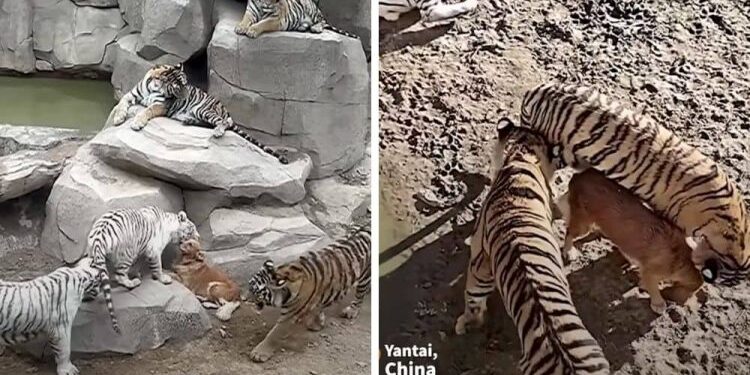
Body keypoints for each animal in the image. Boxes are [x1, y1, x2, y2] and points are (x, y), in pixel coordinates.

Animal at [110, 63, 290, 164]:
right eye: (177, 88)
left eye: (186, 84)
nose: (184, 96)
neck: (154, 85)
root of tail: (225, 109)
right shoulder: (132, 94)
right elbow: (122, 102)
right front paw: (118, 118)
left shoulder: (161, 105)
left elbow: (148, 110)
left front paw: (136, 123)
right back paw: (188, 121)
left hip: (202, 109)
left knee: (223, 122)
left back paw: (217, 132)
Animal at [248, 225, 372, 362]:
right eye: (249, 286)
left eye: (255, 291)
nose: (244, 298)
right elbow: (318, 307)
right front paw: (317, 323)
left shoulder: (290, 315)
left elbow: (274, 334)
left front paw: (259, 353)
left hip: (365, 276)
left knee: (360, 295)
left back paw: (351, 311)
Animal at [560, 170, 704, 314]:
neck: (683, 257)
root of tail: (579, 175)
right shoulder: (651, 272)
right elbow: (653, 287)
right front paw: (658, 303)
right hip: (583, 224)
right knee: (569, 233)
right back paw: (569, 251)